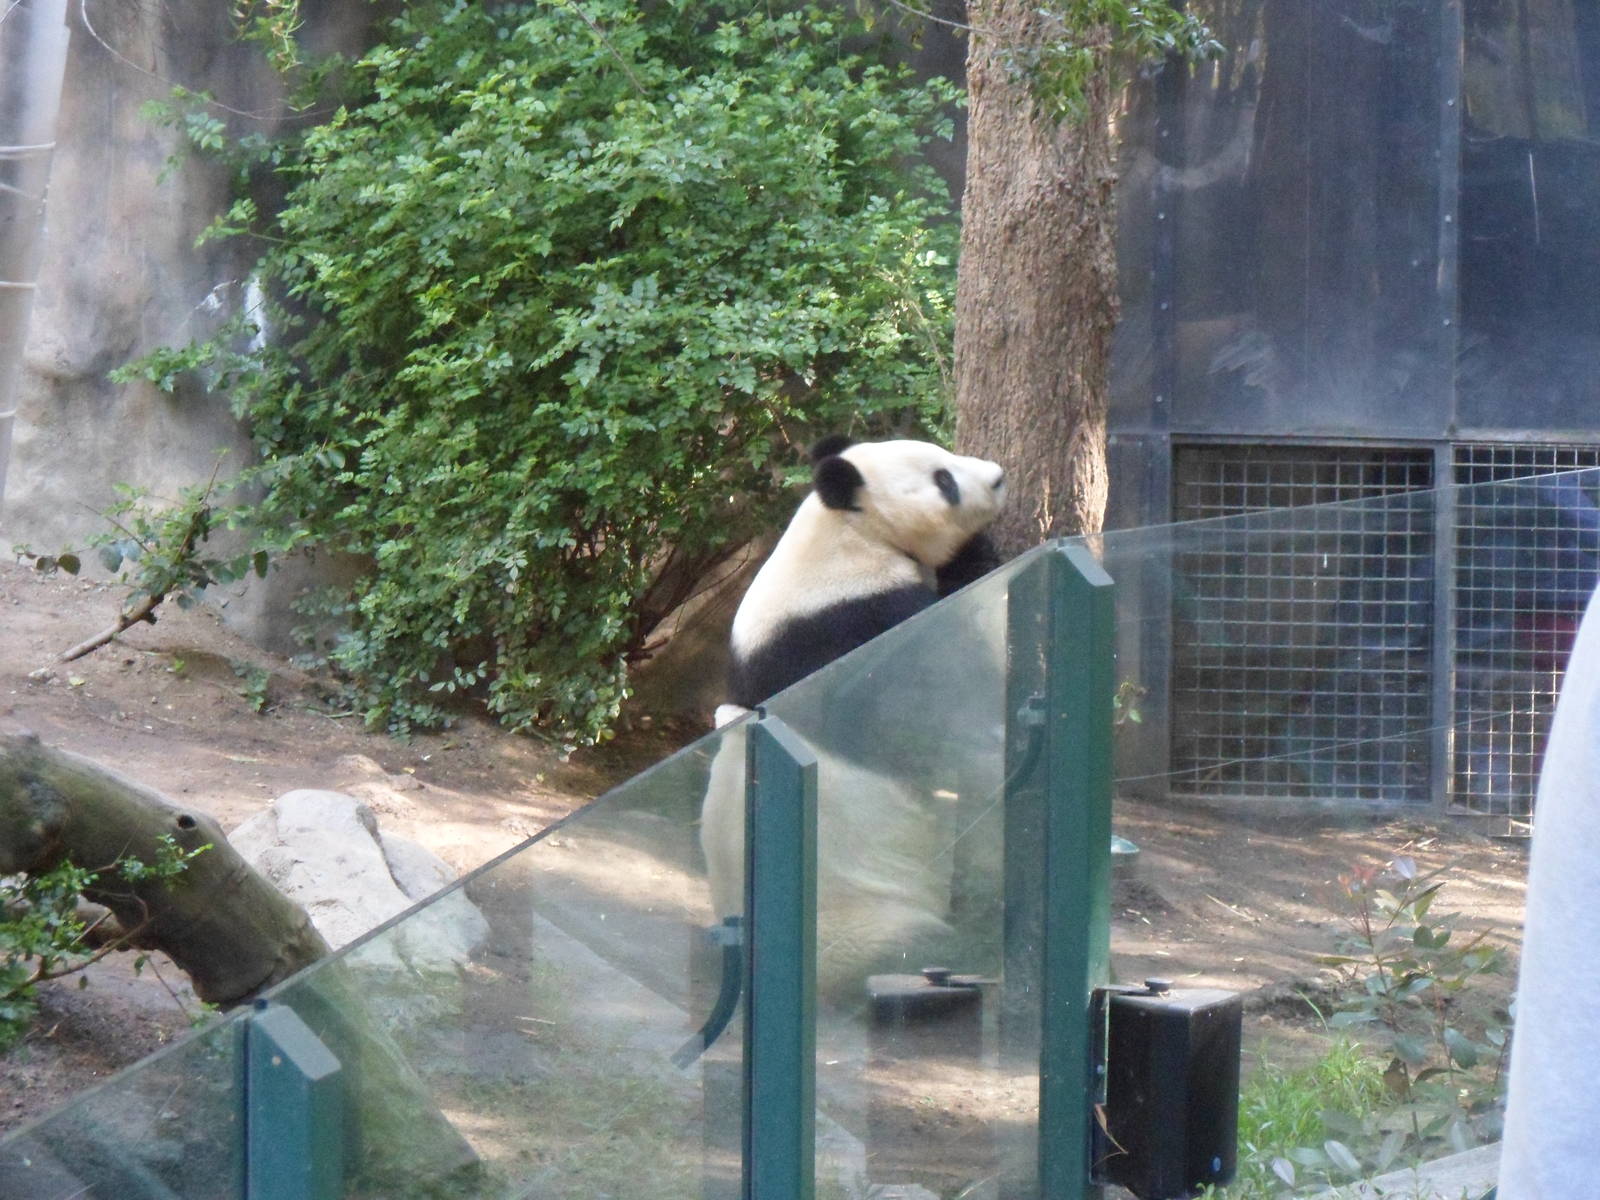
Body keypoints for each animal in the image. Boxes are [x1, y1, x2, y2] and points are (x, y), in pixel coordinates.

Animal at [698, 436, 1008, 1000]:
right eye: (943, 480)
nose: (998, 478)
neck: (846, 534)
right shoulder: (854, 626)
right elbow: (929, 711)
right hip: (862, 923)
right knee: (923, 946)